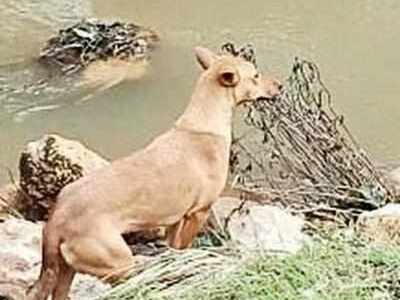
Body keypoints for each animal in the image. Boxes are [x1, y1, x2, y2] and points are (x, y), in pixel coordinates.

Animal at [26, 45, 282, 298]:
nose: (280, 85)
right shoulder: (199, 212)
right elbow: (184, 247)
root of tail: (57, 218)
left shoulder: (176, 218)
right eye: (256, 76)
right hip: (118, 262)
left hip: (66, 269)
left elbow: (172, 247)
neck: (203, 122)